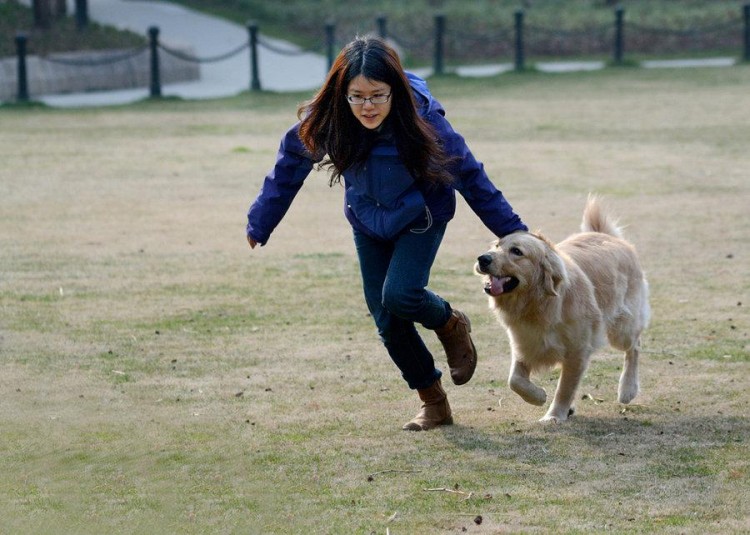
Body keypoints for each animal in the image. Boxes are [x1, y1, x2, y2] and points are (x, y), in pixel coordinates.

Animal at [478, 196, 648, 422]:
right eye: (497, 245)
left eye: (517, 251)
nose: (482, 258)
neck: (537, 305)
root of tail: (605, 234)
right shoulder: (524, 344)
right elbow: (514, 380)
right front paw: (538, 396)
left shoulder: (577, 352)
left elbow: (565, 388)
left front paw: (554, 415)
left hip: (621, 330)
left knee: (635, 346)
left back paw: (628, 389)